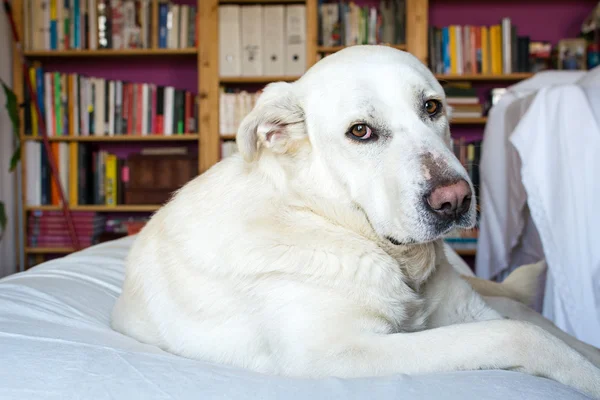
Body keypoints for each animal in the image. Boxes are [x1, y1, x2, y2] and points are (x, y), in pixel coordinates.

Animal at [112, 46, 600, 396]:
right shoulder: (339, 354)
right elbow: (519, 336)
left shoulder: (468, 311)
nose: (455, 199)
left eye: (432, 107)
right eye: (360, 131)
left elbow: (542, 333)